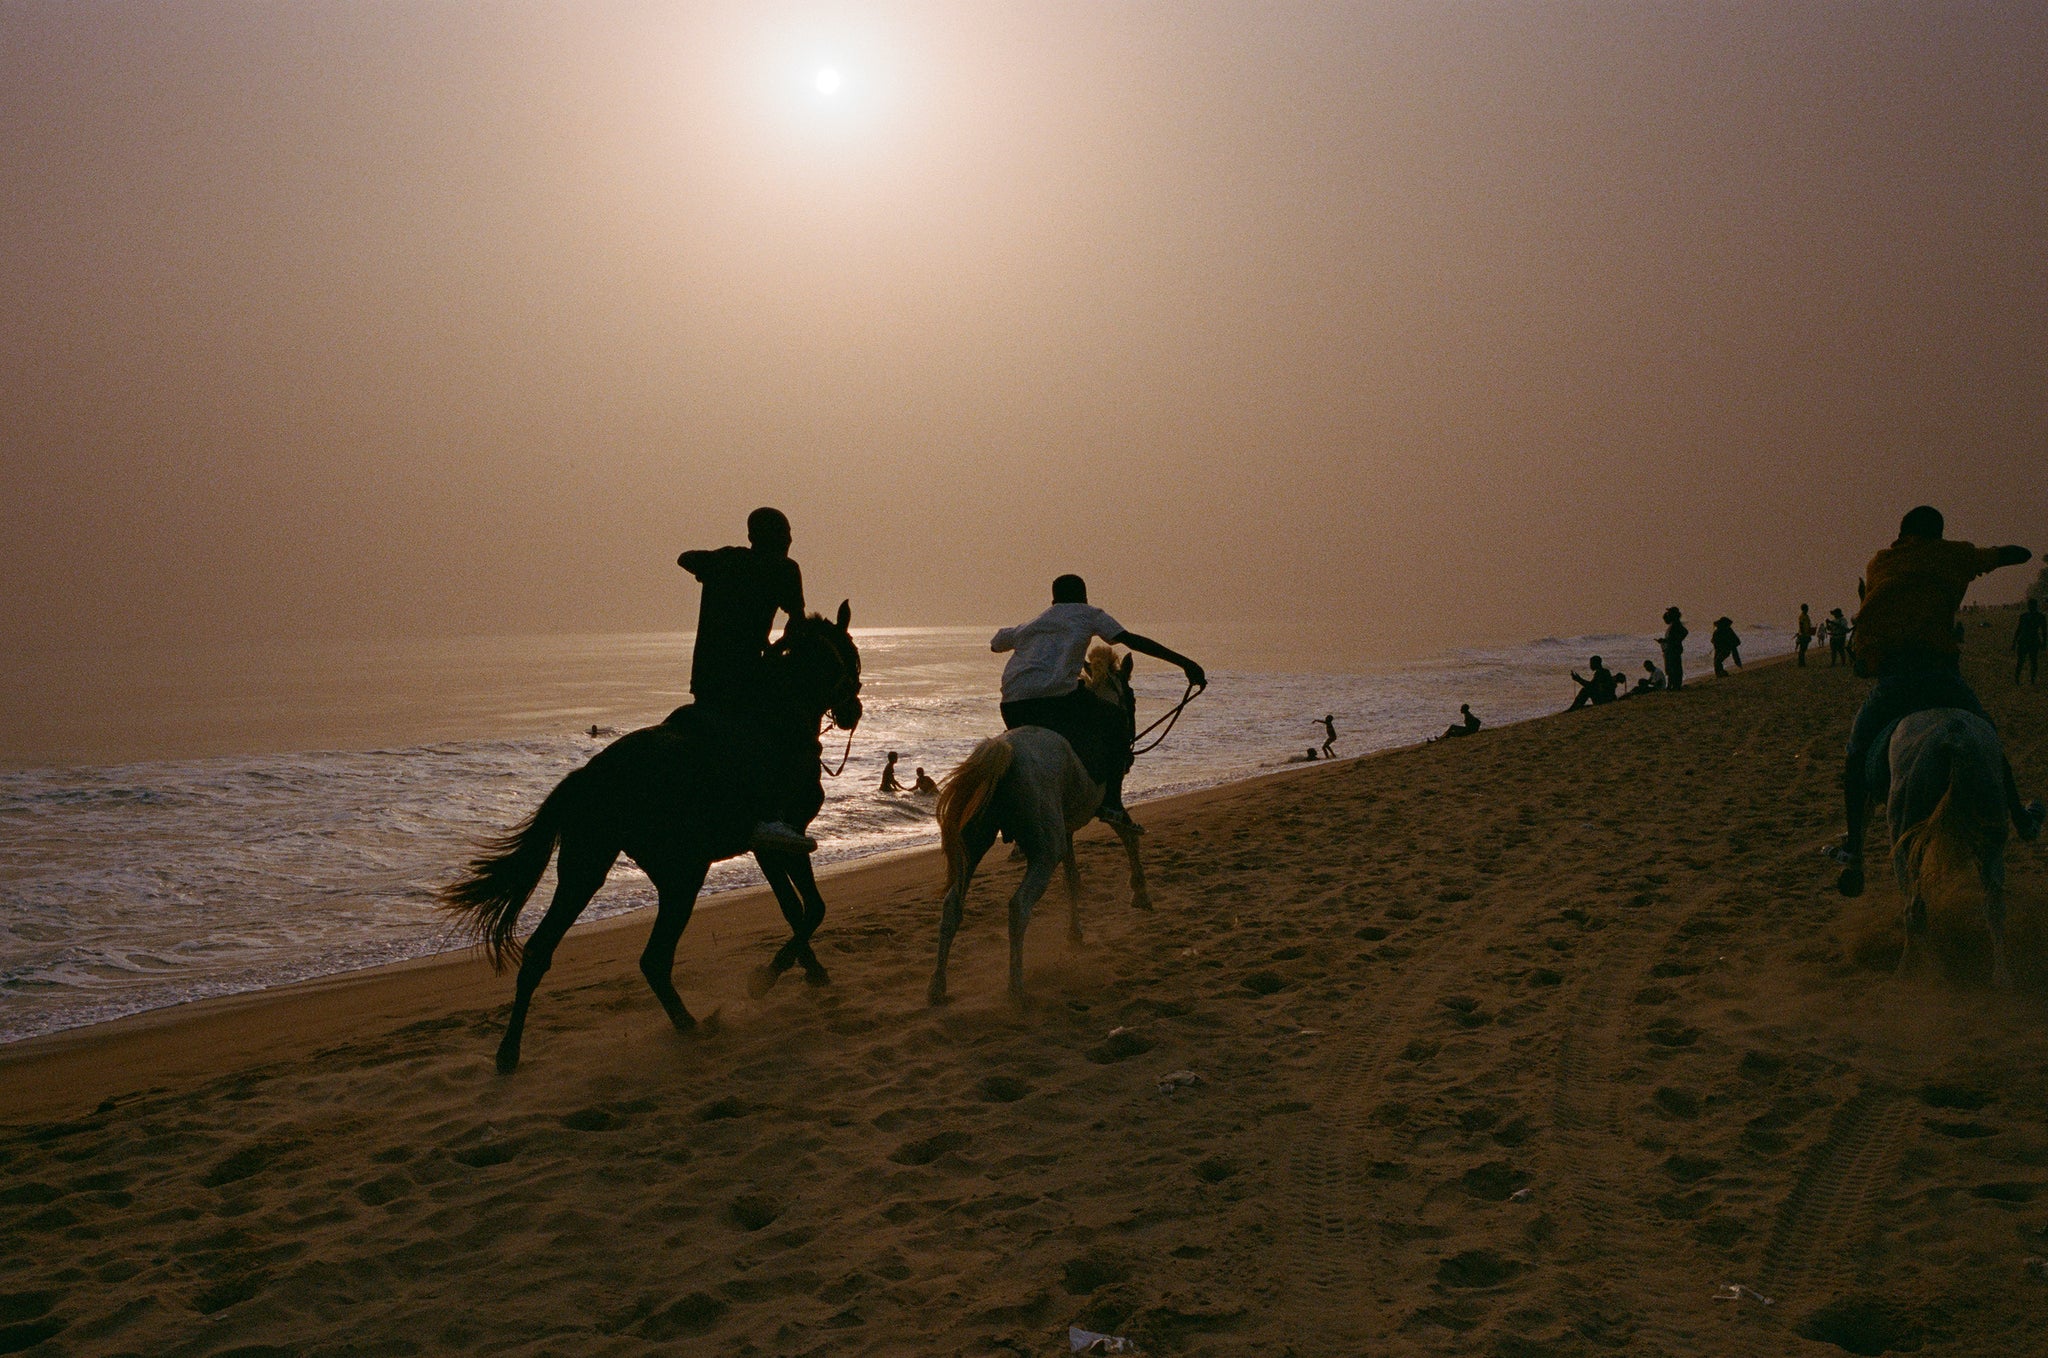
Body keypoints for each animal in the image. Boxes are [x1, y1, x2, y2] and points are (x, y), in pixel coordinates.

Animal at [444, 606, 860, 1073]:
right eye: (848, 656)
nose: (854, 709)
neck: (776, 717)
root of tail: (588, 776)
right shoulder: (786, 838)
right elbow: (811, 910)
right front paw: (768, 978)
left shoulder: (768, 849)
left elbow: (794, 910)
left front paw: (811, 972)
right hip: (683, 873)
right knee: (654, 958)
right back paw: (694, 1026)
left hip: (586, 867)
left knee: (541, 952)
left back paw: (509, 1052)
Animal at [929, 643, 1155, 1003]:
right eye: (1131, 698)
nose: (1131, 753)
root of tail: (1003, 753)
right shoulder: (1107, 807)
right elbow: (1128, 836)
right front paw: (1140, 893)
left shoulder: (1066, 829)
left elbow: (1072, 879)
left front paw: (1075, 933)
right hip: (1044, 850)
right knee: (1018, 906)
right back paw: (1016, 988)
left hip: (975, 841)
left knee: (952, 904)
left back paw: (937, 986)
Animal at [1884, 712, 2015, 987]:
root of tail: (1952, 733)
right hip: (1990, 839)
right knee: (1994, 904)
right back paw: (2001, 976)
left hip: (1903, 839)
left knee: (1913, 908)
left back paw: (1914, 971)